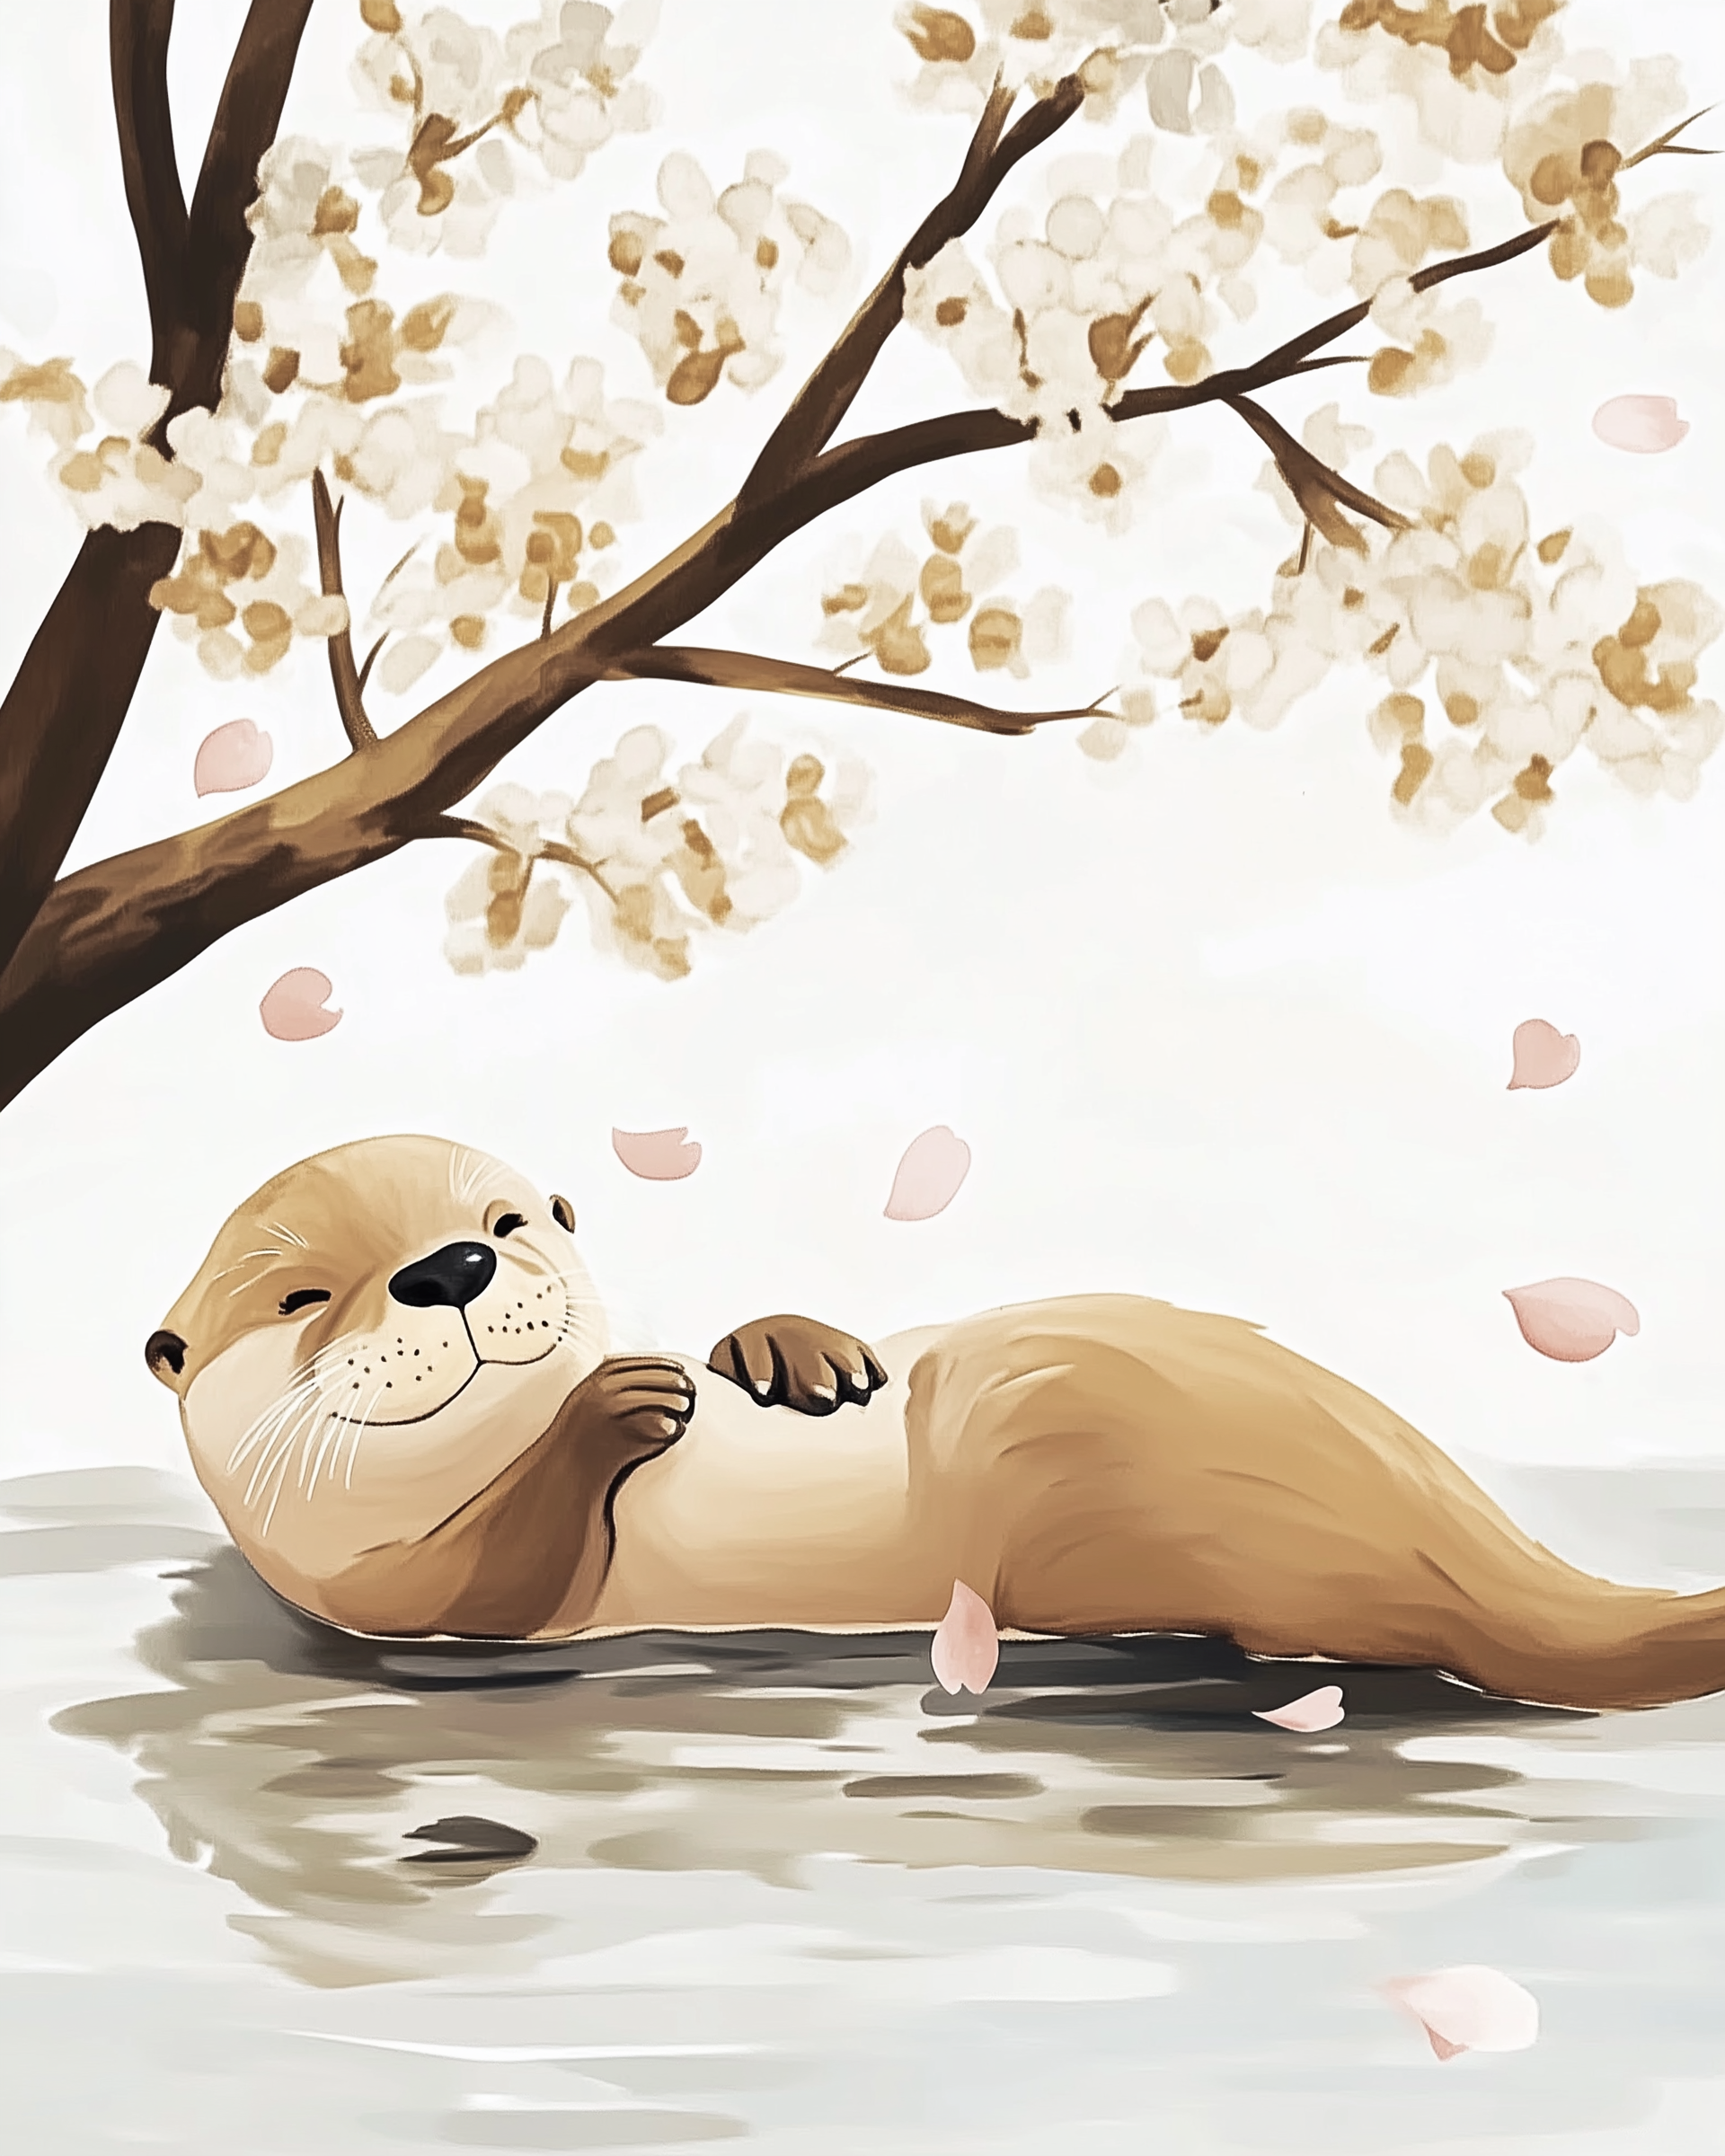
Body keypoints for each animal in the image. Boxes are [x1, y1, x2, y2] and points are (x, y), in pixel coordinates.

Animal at [144, 1133, 1725, 1712]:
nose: (451, 1268)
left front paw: (784, 1349)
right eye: (301, 1296)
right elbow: (509, 1574)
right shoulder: (386, 1598)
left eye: (507, 1218)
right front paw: (620, 1401)